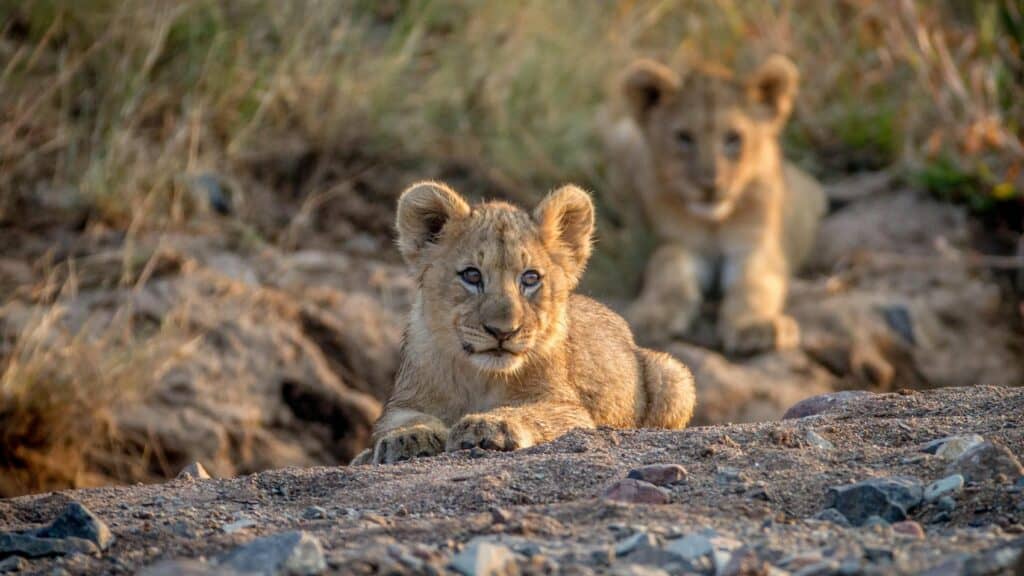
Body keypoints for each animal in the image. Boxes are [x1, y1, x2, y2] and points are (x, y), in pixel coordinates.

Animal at [351, 181, 696, 464]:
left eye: (530, 278)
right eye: (471, 275)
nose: (502, 331)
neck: (482, 376)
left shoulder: (566, 406)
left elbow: (531, 412)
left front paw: (489, 424)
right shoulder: (403, 401)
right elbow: (402, 420)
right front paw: (409, 437)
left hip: (673, 374)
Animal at [607, 55, 826, 355]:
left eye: (733, 138)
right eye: (684, 137)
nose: (710, 185)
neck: (713, 222)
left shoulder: (756, 244)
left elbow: (754, 282)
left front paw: (755, 327)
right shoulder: (675, 242)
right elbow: (667, 270)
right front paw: (652, 317)